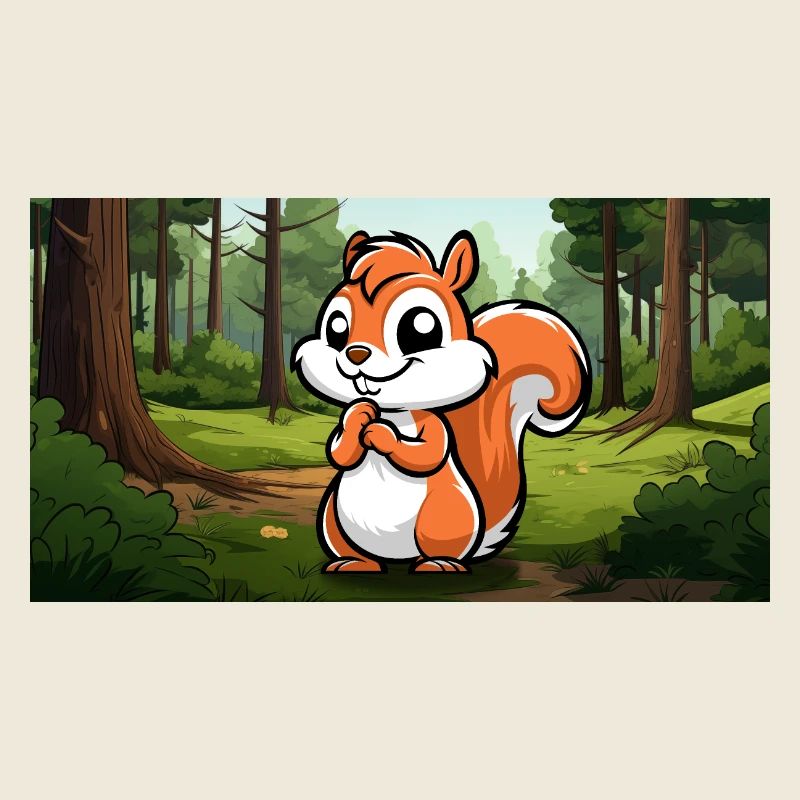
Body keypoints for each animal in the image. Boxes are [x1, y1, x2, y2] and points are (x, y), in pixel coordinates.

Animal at [291, 229, 591, 574]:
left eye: (420, 328)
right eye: (336, 327)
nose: (355, 354)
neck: (392, 410)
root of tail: (397, 557)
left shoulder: (433, 424)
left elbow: (427, 453)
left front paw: (380, 434)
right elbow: (339, 451)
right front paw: (360, 417)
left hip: (440, 515)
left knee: (438, 548)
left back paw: (438, 564)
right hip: (332, 518)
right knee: (352, 548)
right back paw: (354, 563)